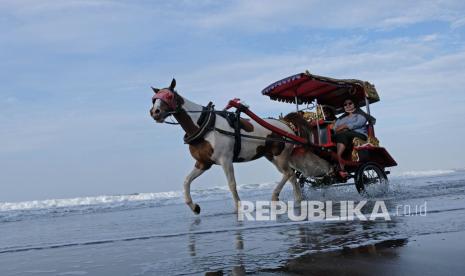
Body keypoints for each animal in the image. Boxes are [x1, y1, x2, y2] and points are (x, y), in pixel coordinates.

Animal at [150, 78, 330, 215]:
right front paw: (194, 207)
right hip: (272, 156)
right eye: (154, 98)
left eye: (169, 96)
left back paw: (277, 197)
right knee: (291, 176)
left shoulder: (225, 160)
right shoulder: (203, 163)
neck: (204, 126)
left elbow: (232, 184)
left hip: (280, 156)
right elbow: (186, 181)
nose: (154, 112)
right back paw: (297, 200)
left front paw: (238, 207)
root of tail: (285, 124)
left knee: (288, 174)